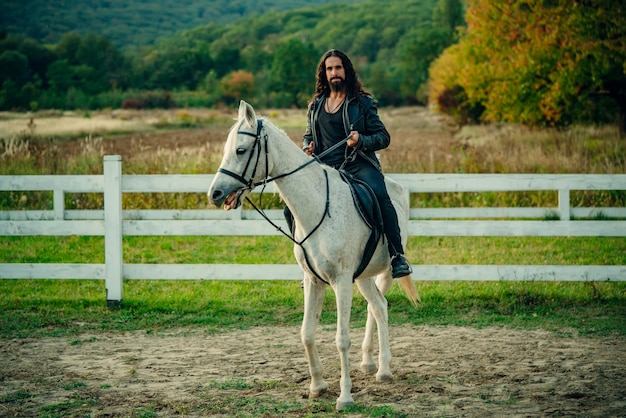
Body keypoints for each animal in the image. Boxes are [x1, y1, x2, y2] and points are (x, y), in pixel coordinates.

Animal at [207, 102, 416, 412]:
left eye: (241, 150)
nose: (215, 194)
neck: (318, 207)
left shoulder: (341, 281)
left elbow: (341, 339)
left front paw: (345, 397)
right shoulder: (314, 280)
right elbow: (306, 333)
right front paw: (317, 386)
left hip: (386, 270)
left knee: (381, 306)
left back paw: (384, 369)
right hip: (362, 276)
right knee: (378, 306)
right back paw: (373, 366)